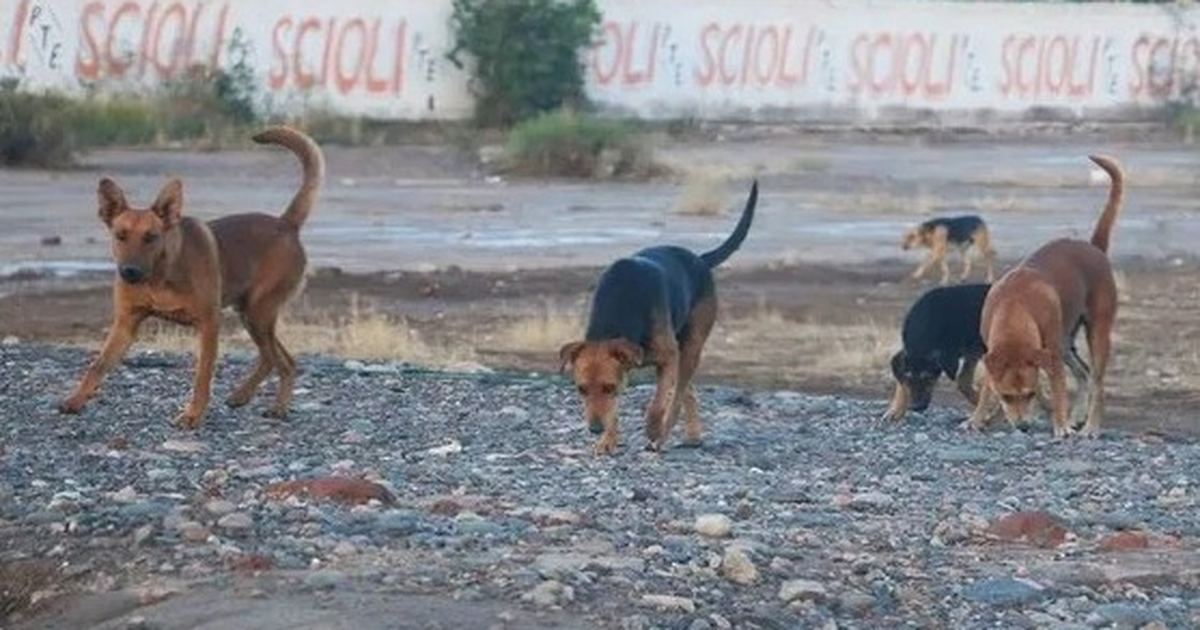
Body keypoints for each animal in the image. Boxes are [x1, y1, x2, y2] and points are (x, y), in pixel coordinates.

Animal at [556, 180, 753, 451]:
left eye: (608, 387)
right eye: (581, 389)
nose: (595, 429)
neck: (621, 305)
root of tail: (700, 260)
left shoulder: (667, 359)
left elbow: (657, 404)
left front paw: (652, 429)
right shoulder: (627, 370)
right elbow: (615, 411)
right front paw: (608, 440)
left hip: (690, 348)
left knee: (678, 396)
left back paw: (664, 433)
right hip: (683, 354)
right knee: (688, 392)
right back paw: (693, 434)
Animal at [964, 153, 1123, 434]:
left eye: (1029, 394)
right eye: (1006, 396)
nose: (1023, 426)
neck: (1015, 306)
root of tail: (1095, 248)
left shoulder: (1051, 356)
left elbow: (1059, 389)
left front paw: (1060, 426)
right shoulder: (993, 354)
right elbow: (985, 390)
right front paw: (977, 418)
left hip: (1095, 333)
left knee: (1097, 382)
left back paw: (1090, 427)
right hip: (1066, 341)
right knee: (1083, 373)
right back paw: (1077, 416)